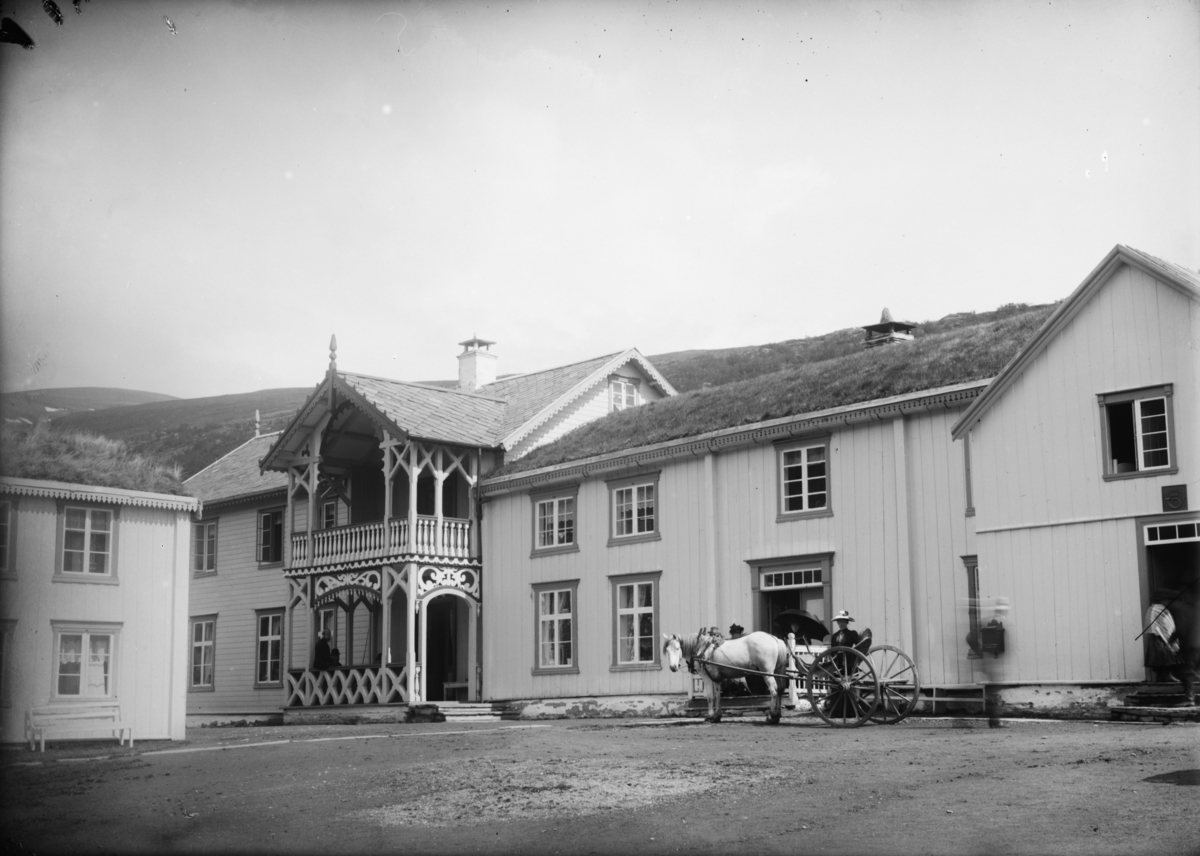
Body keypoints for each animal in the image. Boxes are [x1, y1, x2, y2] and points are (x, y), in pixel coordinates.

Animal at [662, 629, 792, 720]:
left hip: (767, 673)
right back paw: (777, 715)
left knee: (774, 691)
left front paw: (710, 716)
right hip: (778, 671)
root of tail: (774, 638)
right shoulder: (717, 679)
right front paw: (717, 716)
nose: (673, 667)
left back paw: (772, 716)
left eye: (677, 648)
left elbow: (710, 697)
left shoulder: (706, 677)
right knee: (780, 690)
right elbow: (717, 696)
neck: (702, 649)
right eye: (667, 650)